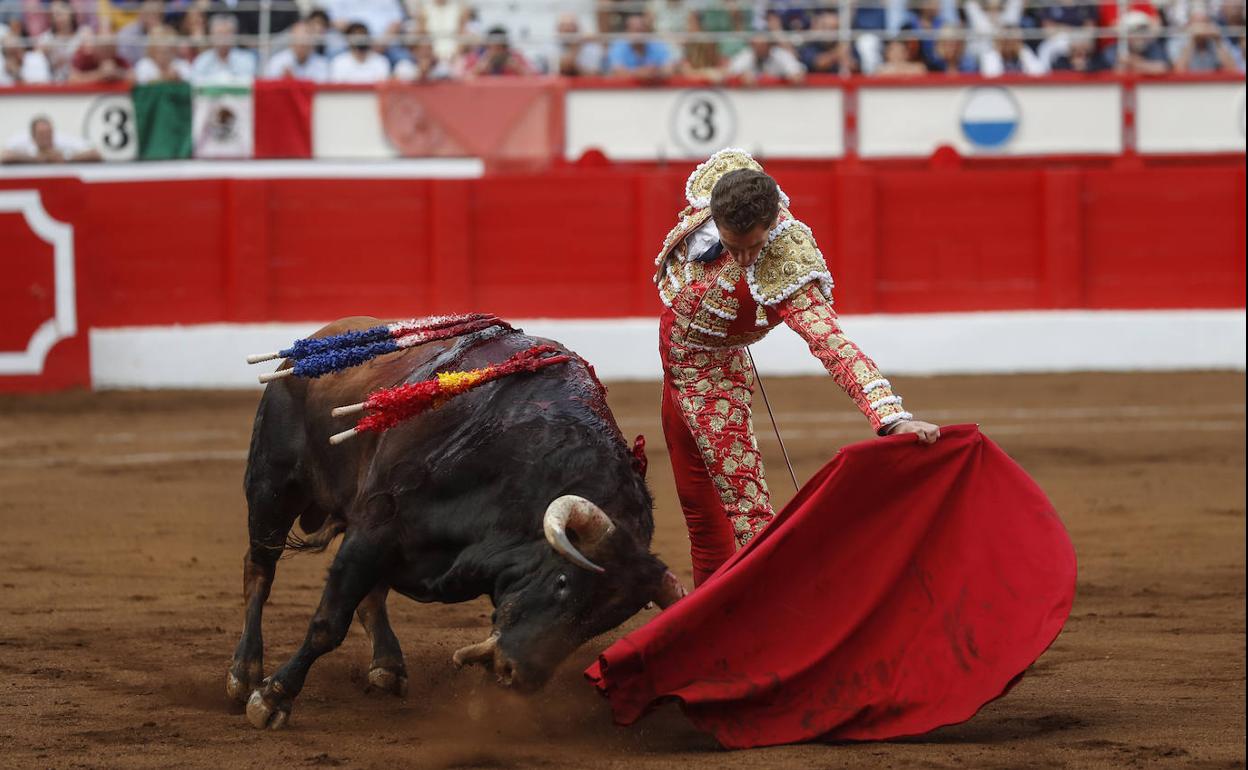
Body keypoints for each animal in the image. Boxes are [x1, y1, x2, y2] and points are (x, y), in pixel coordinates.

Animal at [229, 316, 688, 728]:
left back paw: (388, 666)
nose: (515, 673)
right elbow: (328, 623)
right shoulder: (375, 528)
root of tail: (317, 338)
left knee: (371, 593)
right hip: (272, 487)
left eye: (603, 622)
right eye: (562, 582)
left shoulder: (376, 536)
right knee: (259, 570)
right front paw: (272, 698)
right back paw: (243, 674)